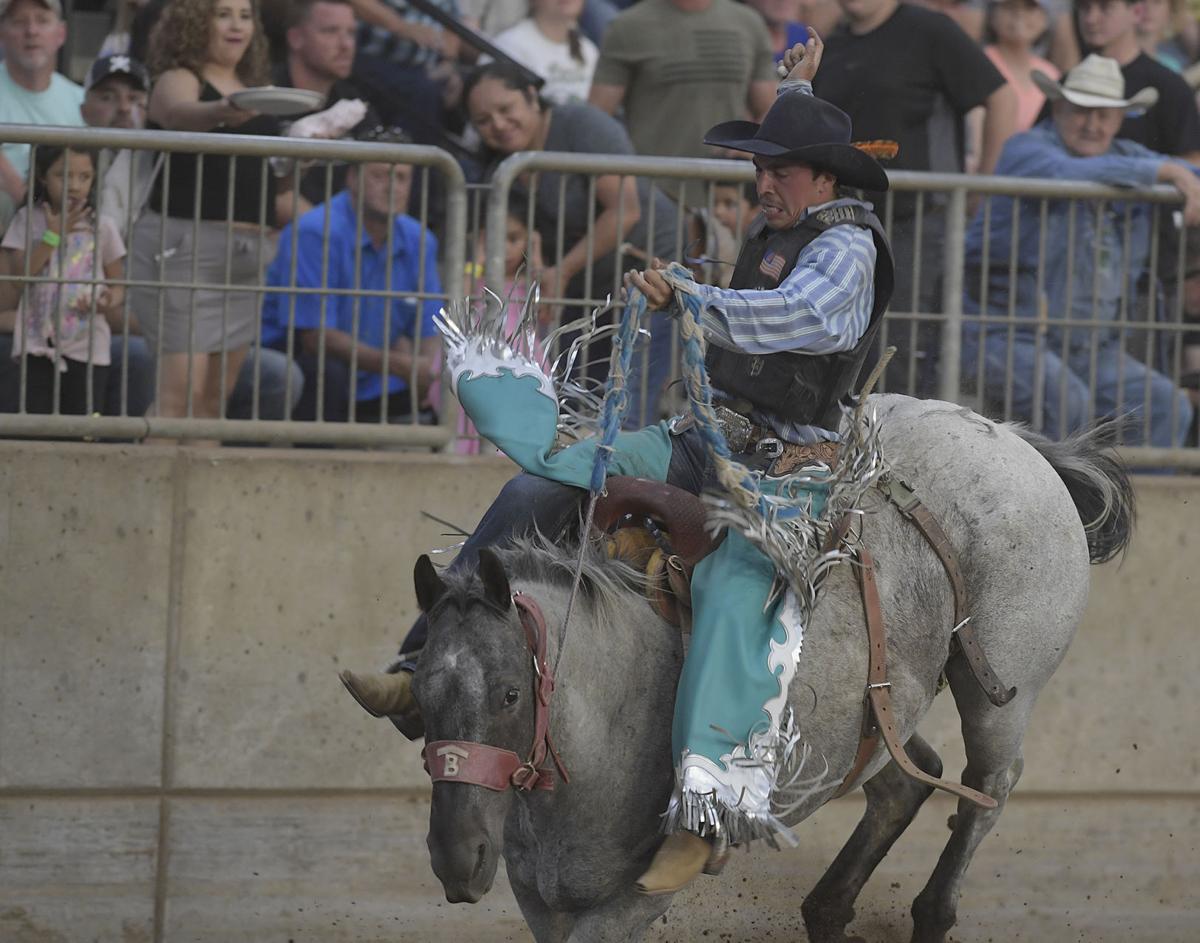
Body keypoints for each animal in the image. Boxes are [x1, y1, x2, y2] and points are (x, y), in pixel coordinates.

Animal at [400, 393, 1132, 935]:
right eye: (427, 696)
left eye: (509, 695)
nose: (457, 861)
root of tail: (1017, 441)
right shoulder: (541, 898)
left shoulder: (630, 900)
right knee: (907, 779)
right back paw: (829, 908)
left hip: (1003, 690)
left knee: (990, 785)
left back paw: (930, 913)